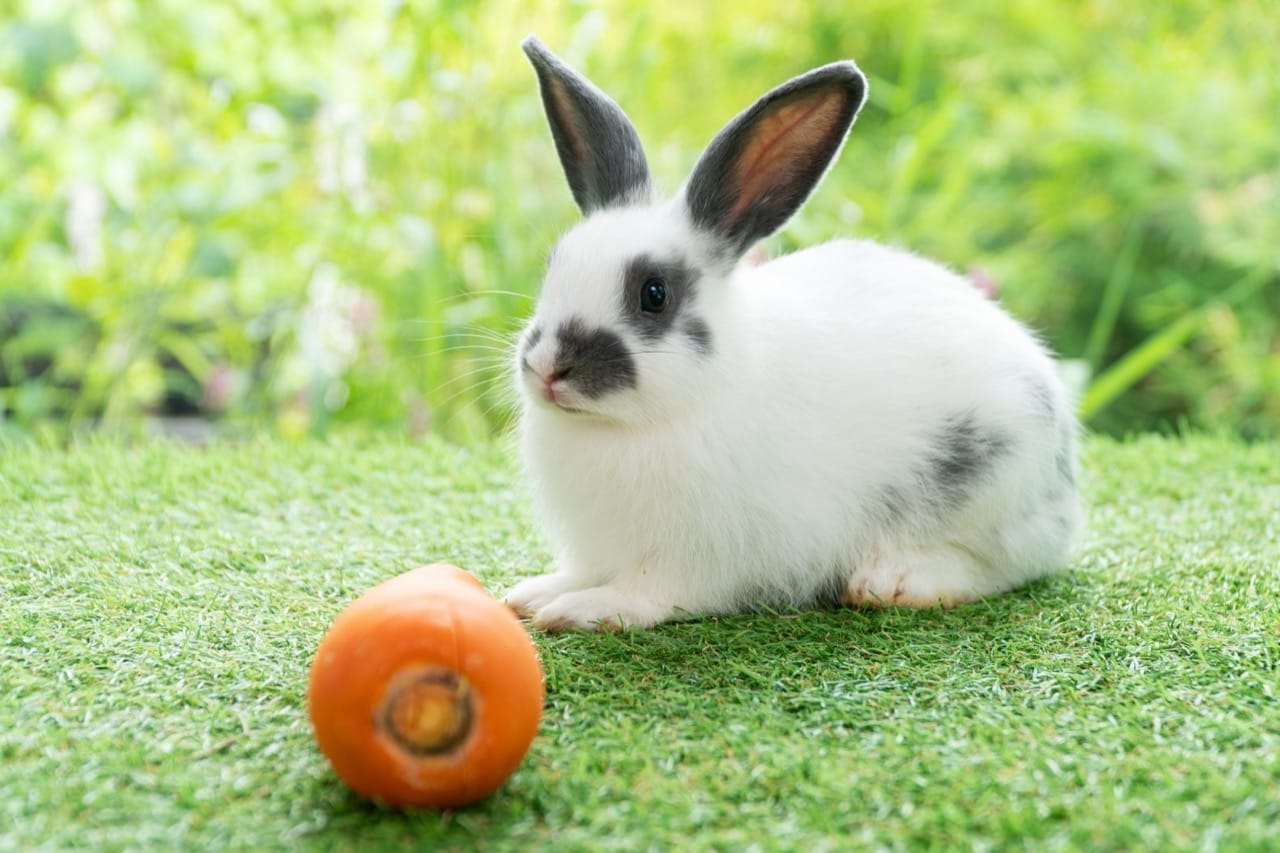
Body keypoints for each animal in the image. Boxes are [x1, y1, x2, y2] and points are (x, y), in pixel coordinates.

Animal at [504, 35, 1081, 631]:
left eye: (654, 294)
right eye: (553, 266)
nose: (547, 368)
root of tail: (1062, 488)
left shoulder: (693, 560)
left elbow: (646, 593)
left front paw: (581, 609)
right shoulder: (595, 548)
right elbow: (579, 572)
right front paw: (534, 593)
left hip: (991, 493)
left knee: (1001, 565)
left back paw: (894, 581)